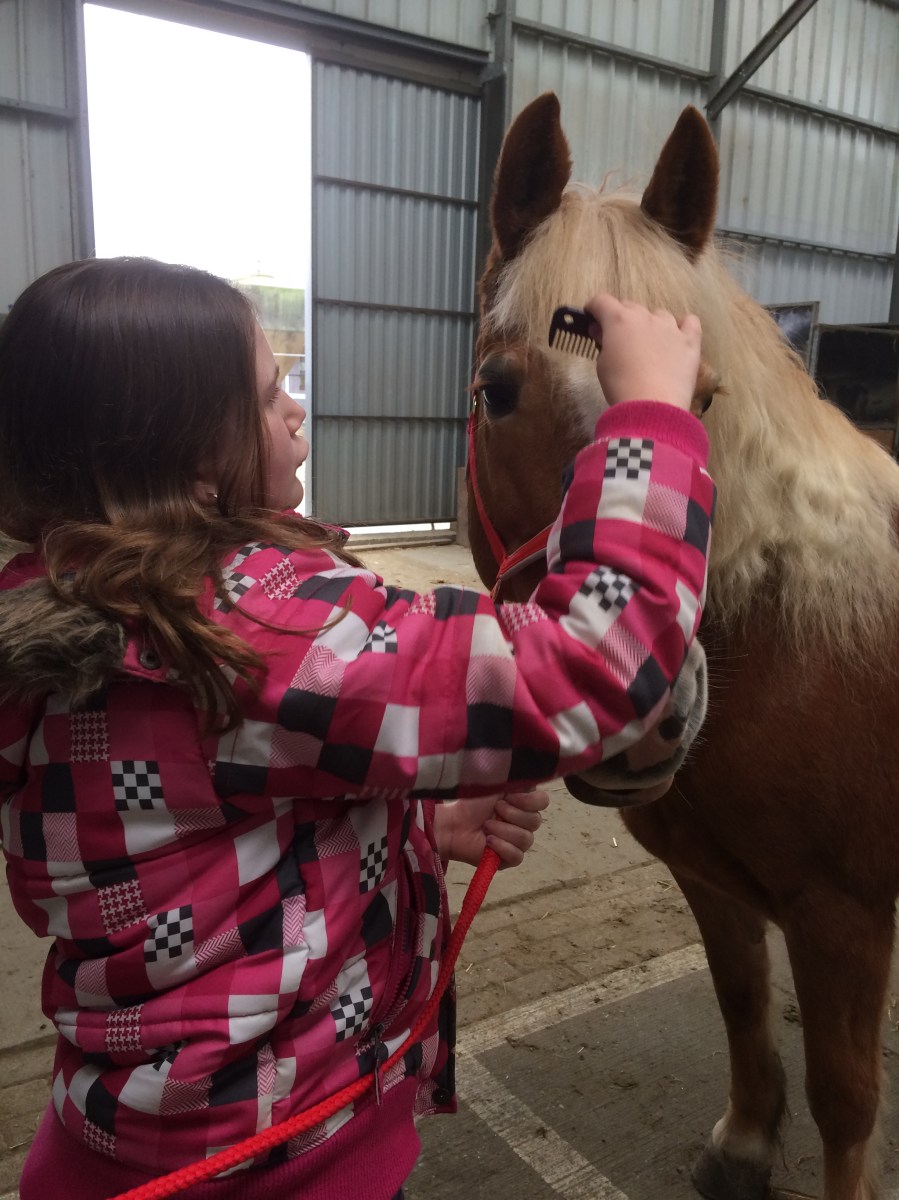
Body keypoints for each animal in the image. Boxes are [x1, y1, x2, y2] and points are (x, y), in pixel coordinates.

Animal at [467, 92, 899, 1200]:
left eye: (700, 400)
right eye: (495, 390)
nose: (646, 705)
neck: (787, 647)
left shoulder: (844, 916)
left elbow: (845, 1097)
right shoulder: (708, 878)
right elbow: (739, 996)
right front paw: (743, 1142)